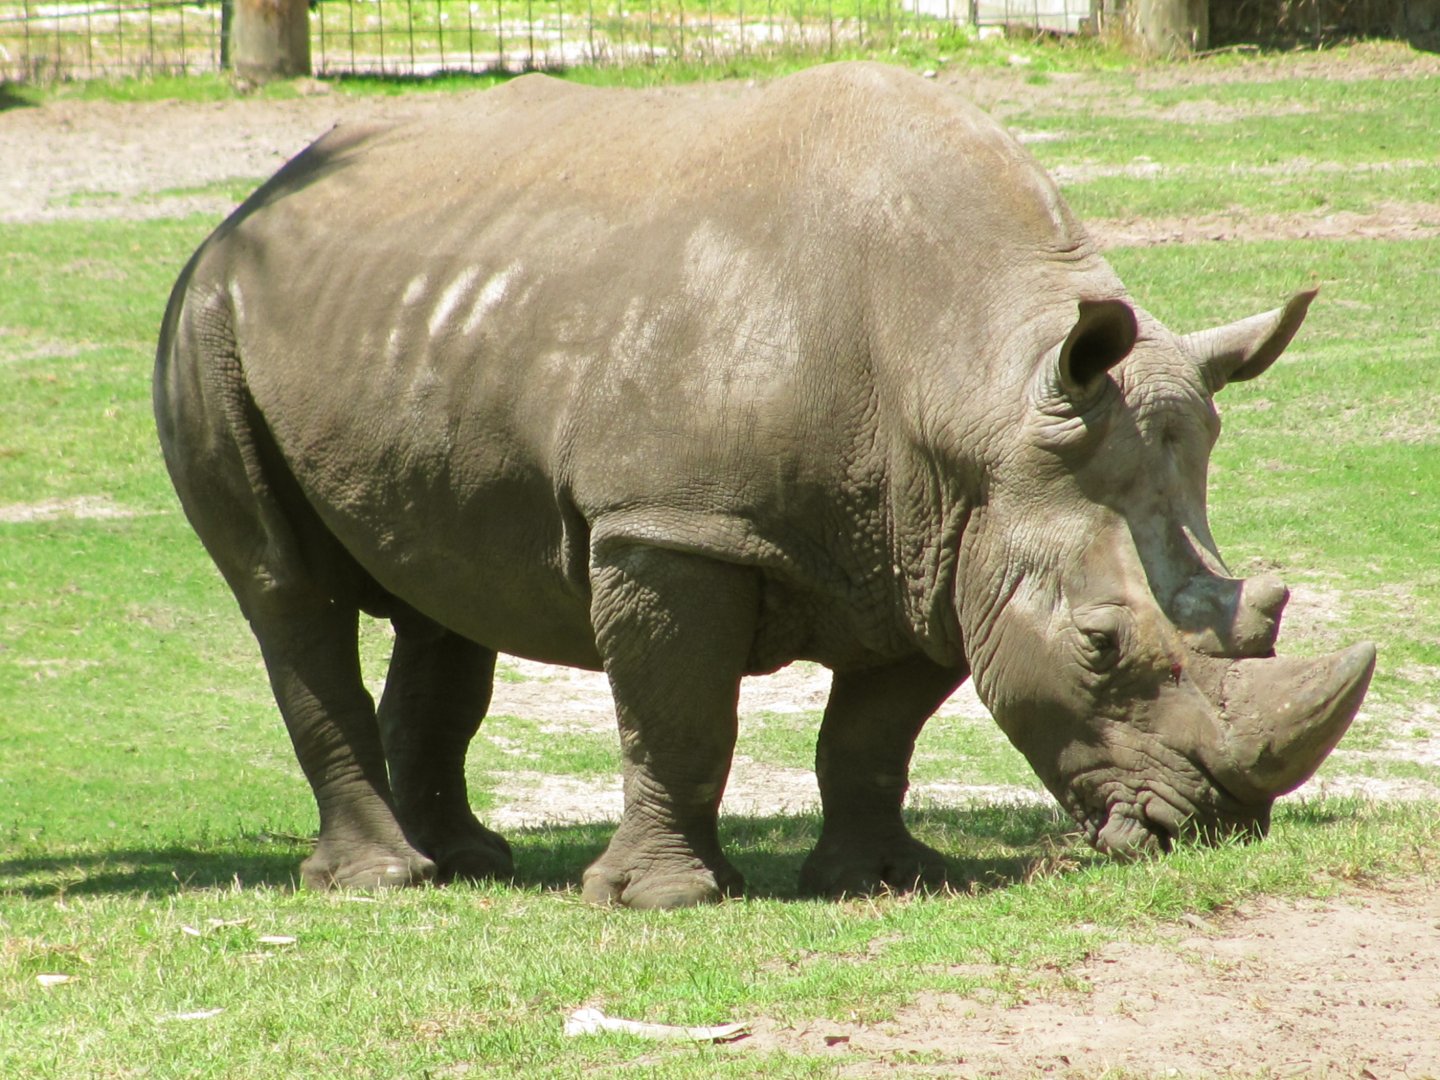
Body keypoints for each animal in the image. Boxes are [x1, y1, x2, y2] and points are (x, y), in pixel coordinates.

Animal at [154, 63, 1374, 908]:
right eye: (1101, 647)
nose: (1210, 827)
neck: (977, 377)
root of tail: (257, 194)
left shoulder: (938, 537)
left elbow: (873, 734)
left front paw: (882, 879)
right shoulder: (674, 526)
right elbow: (677, 716)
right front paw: (660, 901)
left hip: (418, 309)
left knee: (446, 589)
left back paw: (468, 861)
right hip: (207, 311)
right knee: (288, 595)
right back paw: (385, 881)